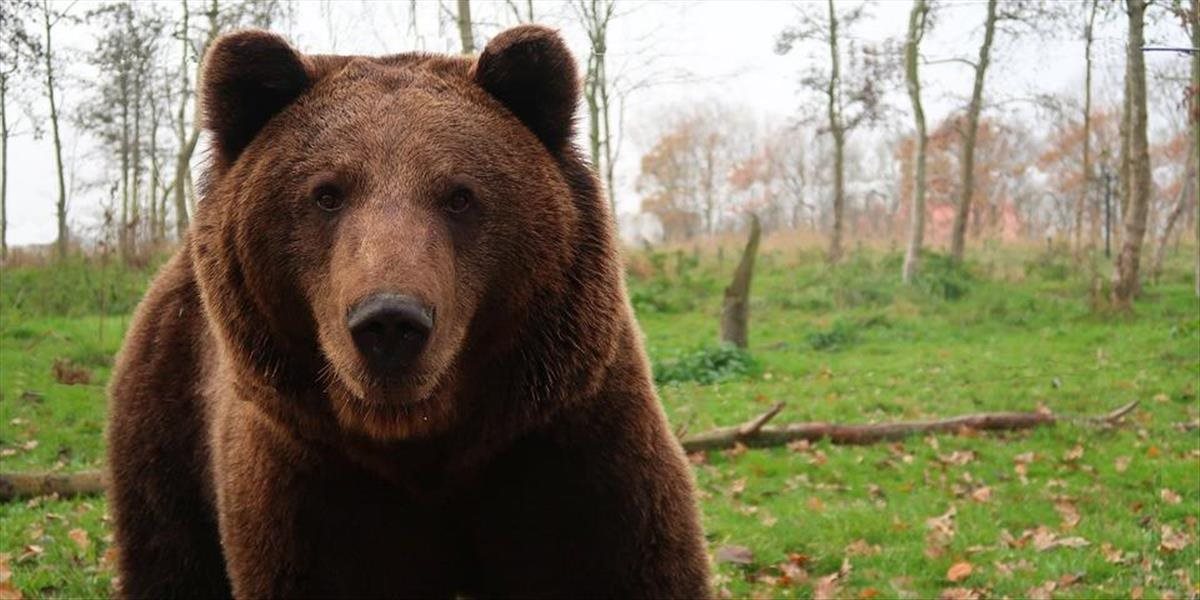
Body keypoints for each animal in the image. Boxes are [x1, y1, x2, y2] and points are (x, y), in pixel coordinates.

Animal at [105, 24, 710, 600]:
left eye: (460, 195)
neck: (424, 445)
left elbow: (622, 563)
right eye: (327, 193)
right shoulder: (314, 485)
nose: (390, 322)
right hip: (169, 417)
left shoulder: (561, 449)